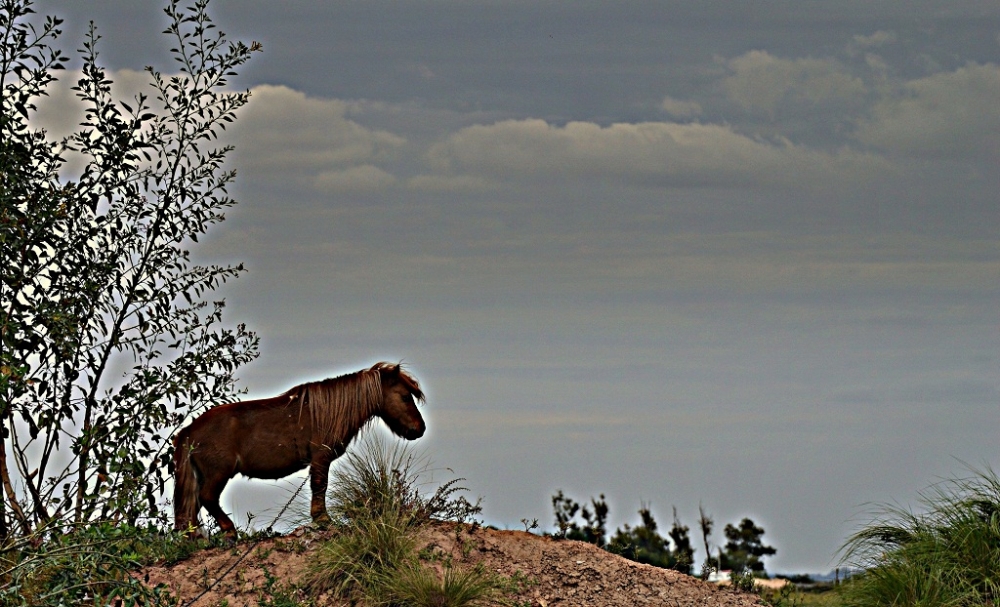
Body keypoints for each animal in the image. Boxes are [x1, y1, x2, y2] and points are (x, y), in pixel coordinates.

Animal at [174, 360, 424, 536]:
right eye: (405, 396)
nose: (419, 428)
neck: (328, 412)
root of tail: (189, 431)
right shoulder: (321, 458)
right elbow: (319, 486)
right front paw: (322, 519)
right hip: (218, 473)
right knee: (207, 498)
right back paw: (229, 531)